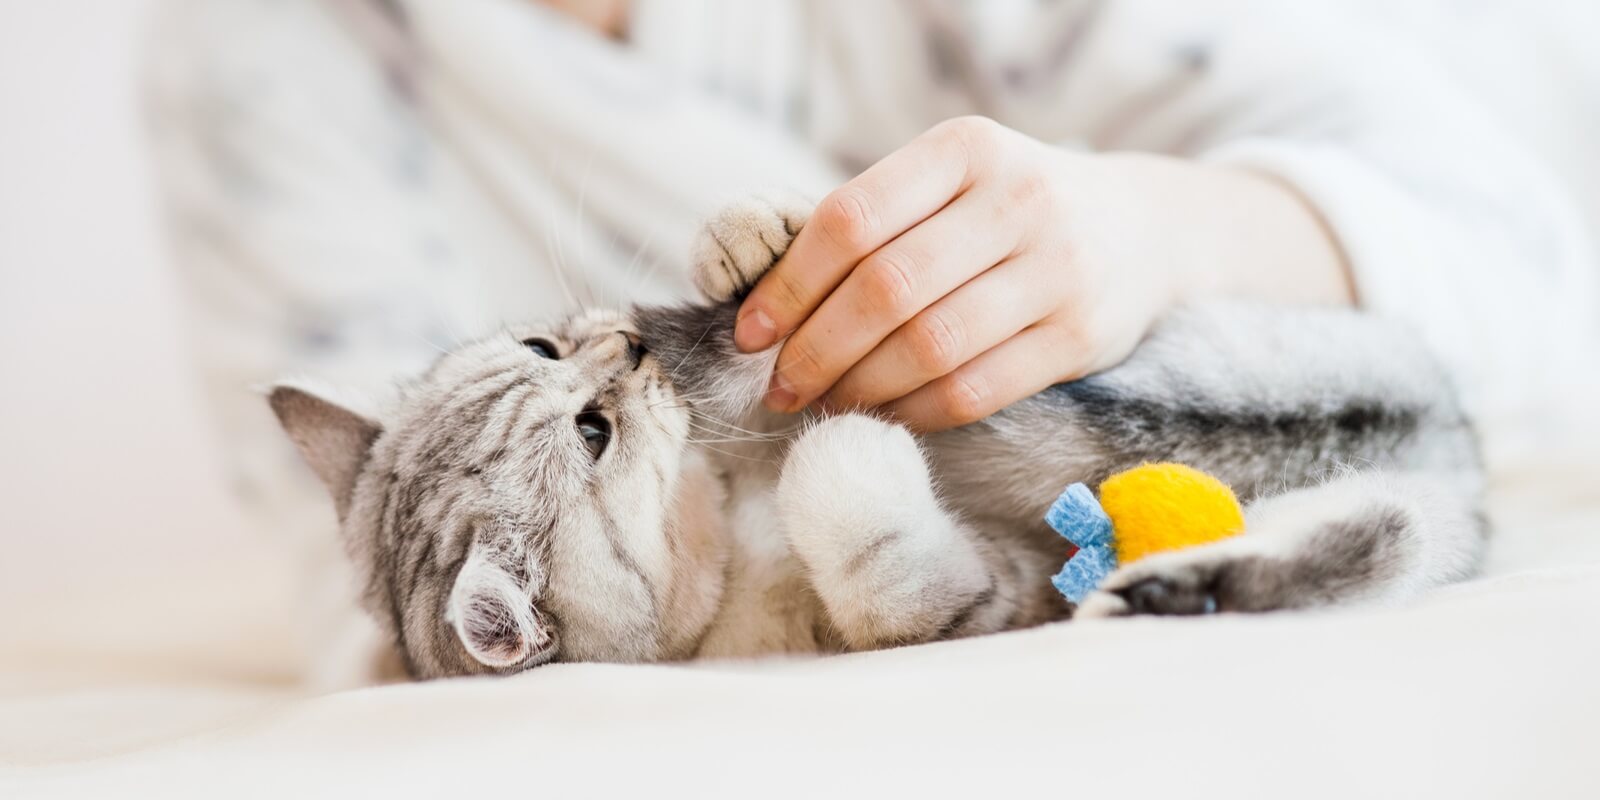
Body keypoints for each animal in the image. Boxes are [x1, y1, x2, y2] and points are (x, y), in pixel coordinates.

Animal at [268, 196, 1478, 678]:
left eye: (539, 342)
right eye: (593, 432)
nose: (627, 345)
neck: (722, 510)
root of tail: (1437, 418)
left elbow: (763, 333)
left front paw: (752, 242)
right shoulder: (970, 599)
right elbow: (859, 527)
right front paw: (850, 447)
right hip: (1381, 513)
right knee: (1365, 535)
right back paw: (1173, 587)